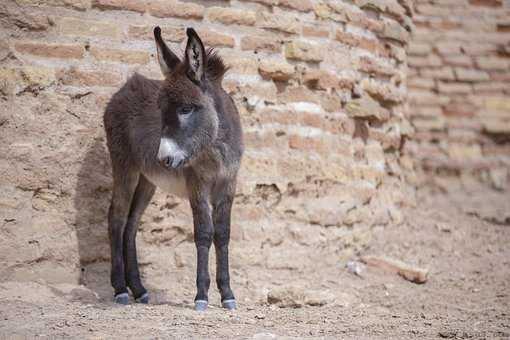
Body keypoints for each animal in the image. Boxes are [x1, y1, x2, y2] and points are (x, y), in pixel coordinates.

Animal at [103, 26, 243, 310]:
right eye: (160, 110)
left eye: (186, 109)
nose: (163, 158)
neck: (216, 147)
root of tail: (123, 90)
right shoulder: (197, 184)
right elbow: (204, 233)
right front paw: (201, 296)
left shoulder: (228, 184)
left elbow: (223, 234)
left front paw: (227, 295)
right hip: (124, 167)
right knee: (116, 219)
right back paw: (121, 290)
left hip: (147, 180)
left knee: (131, 224)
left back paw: (139, 290)